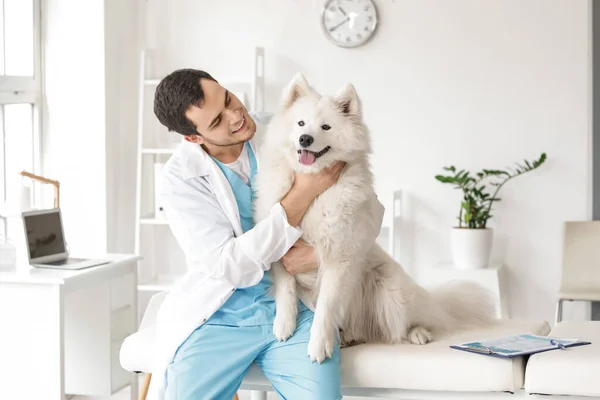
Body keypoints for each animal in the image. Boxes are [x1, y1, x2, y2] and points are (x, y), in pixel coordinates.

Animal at [251, 73, 494, 364]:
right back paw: (350, 337)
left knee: (418, 320)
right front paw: (284, 325)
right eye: (300, 123)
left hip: (391, 292)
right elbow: (285, 290)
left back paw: (418, 332)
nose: (305, 139)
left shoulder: (339, 258)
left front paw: (319, 345)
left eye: (325, 127)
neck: (313, 192)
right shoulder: (280, 250)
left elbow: (326, 307)